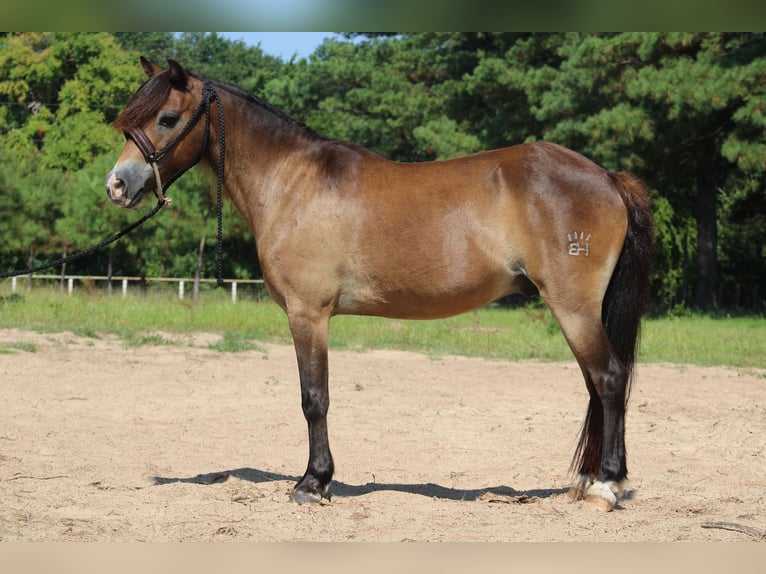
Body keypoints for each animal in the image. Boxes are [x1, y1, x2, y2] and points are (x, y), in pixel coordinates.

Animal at [106, 58, 653, 512]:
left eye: (167, 118)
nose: (116, 185)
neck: (292, 182)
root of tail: (607, 177)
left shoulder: (308, 313)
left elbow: (314, 398)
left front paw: (313, 483)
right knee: (596, 384)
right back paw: (585, 481)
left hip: (573, 307)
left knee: (608, 379)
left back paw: (606, 486)